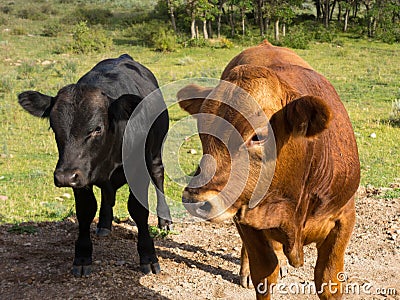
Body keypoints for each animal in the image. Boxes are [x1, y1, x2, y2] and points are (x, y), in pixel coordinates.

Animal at [18, 54, 172, 276]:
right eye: (54, 127)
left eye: (97, 128)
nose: (64, 177)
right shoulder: (79, 176)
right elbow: (85, 210)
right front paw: (82, 256)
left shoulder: (138, 170)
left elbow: (138, 209)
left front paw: (148, 255)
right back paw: (105, 223)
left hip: (155, 151)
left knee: (158, 175)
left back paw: (165, 221)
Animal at [177, 41, 360, 298]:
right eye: (202, 129)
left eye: (258, 136)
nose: (196, 199)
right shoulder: (246, 219)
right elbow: (264, 275)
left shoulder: (343, 219)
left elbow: (328, 280)